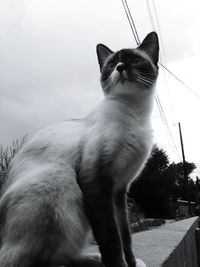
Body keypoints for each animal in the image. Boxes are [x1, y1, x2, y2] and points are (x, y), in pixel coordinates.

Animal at [0, 31, 159, 267]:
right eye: (111, 64)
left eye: (134, 59)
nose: (120, 67)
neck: (134, 112)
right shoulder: (97, 181)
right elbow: (111, 238)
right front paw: (119, 265)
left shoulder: (120, 189)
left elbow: (125, 235)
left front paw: (131, 264)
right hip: (58, 177)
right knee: (21, 260)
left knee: (61, 255)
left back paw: (94, 259)